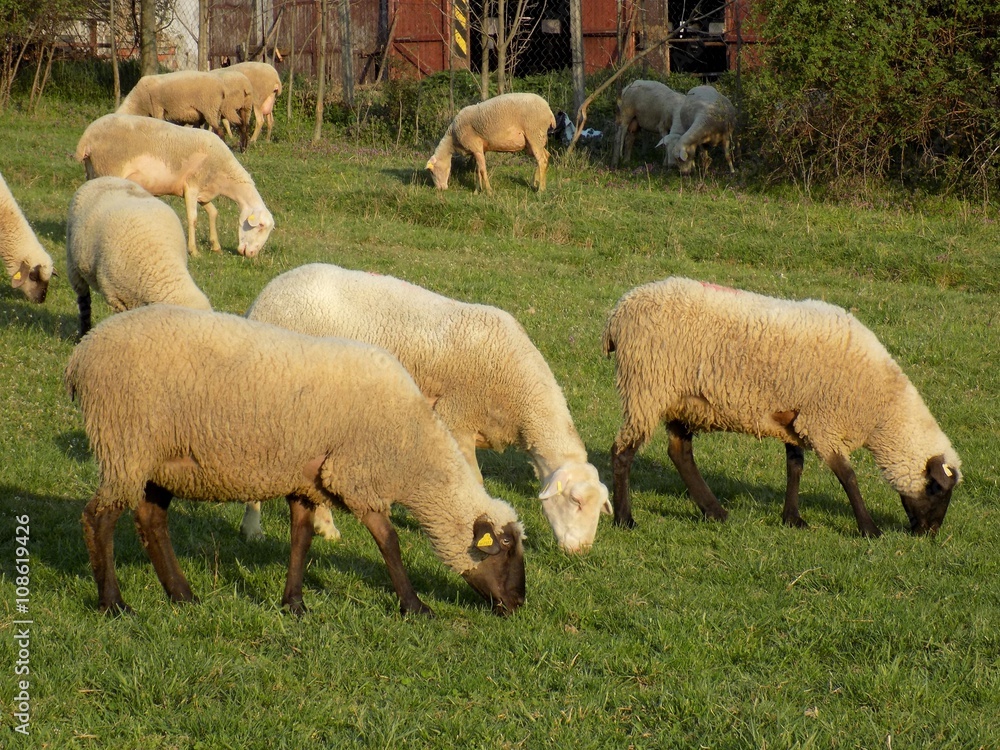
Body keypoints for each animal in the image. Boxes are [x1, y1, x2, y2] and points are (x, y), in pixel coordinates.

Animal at [65, 304, 526, 617]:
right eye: (505, 548)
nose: (519, 602)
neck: (412, 451)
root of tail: (81, 356)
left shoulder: (309, 481)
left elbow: (301, 539)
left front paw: (294, 603)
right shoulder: (355, 475)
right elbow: (389, 541)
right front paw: (414, 605)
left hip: (160, 460)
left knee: (151, 521)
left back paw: (183, 594)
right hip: (126, 443)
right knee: (98, 518)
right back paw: (113, 603)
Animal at [75, 113, 274, 258]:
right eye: (260, 226)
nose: (251, 254)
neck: (224, 174)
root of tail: (87, 138)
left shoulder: (203, 192)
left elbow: (213, 212)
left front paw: (215, 245)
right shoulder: (192, 186)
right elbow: (193, 218)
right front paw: (194, 251)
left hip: (92, 170)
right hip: (109, 169)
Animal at [240, 263, 612, 553]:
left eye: (600, 509)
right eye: (576, 502)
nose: (581, 550)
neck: (520, 393)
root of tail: (270, 290)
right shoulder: (457, 418)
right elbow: (475, 481)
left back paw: (325, 527)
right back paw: (254, 528)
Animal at [426, 92, 556, 193]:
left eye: (432, 172)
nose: (440, 189)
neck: (453, 139)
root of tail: (549, 110)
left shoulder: (475, 147)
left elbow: (483, 170)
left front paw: (489, 191)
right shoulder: (479, 150)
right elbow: (478, 170)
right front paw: (477, 191)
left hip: (535, 134)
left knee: (542, 160)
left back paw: (540, 190)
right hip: (533, 141)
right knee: (546, 156)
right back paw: (536, 183)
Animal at [602, 277, 961, 537]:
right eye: (936, 490)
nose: (929, 534)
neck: (881, 409)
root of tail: (618, 312)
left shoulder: (796, 416)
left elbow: (795, 466)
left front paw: (792, 518)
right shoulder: (823, 423)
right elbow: (847, 476)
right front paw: (869, 529)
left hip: (681, 398)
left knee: (679, 453)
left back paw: (714, 512)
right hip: (647, 387)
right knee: (623, 451)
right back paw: (625, 519)